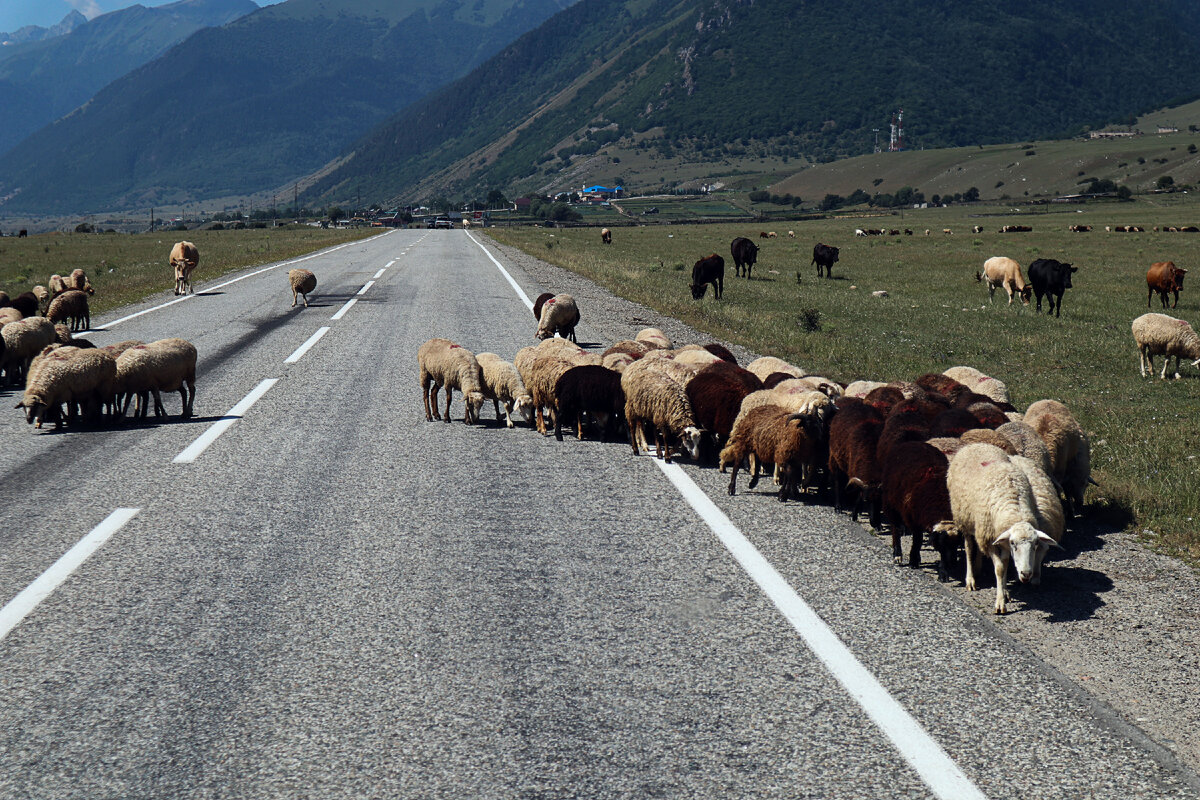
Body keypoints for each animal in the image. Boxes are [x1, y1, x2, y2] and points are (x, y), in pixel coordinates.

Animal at [950, 441, 1065, 618]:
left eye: (1035, 544)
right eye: (1013, 544)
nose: (1027, 574)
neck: (1014, 508)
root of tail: (975, 444)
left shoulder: (1000, 539)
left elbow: (1004, 564)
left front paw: (1004, 592)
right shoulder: (991, 540)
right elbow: (999, 568)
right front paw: (1000, 603)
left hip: (977, 525)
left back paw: (978, 568)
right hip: (965, 519)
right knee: (969, 548)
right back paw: (970, 579)